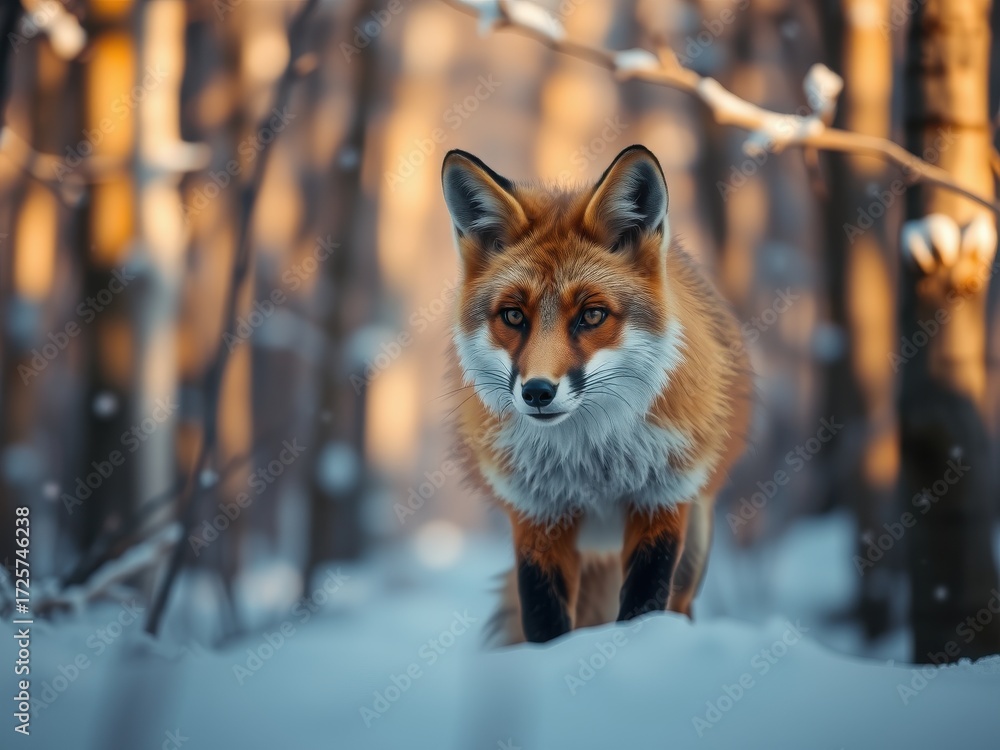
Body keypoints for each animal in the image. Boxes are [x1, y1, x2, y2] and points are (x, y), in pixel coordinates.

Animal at [440, 144, 752, 645]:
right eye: (513, 316)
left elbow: (643, 608)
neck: (591, 465)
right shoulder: (537, 514)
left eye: (591, 315)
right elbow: (543, 622)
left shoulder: (661, 501)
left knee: (679, 606)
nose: (537, 392)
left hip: (696, 539)